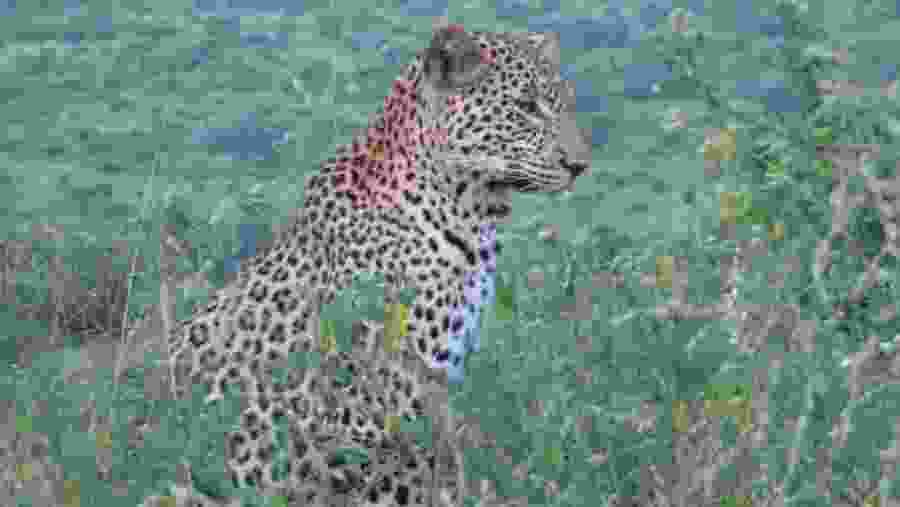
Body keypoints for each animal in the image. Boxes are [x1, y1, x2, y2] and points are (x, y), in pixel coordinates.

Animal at [141, 23, 591, 507]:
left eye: (566, 103)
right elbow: (409, 479)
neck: (469, 209)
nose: (580, 165)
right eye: (527, 107)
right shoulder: (374, 411)